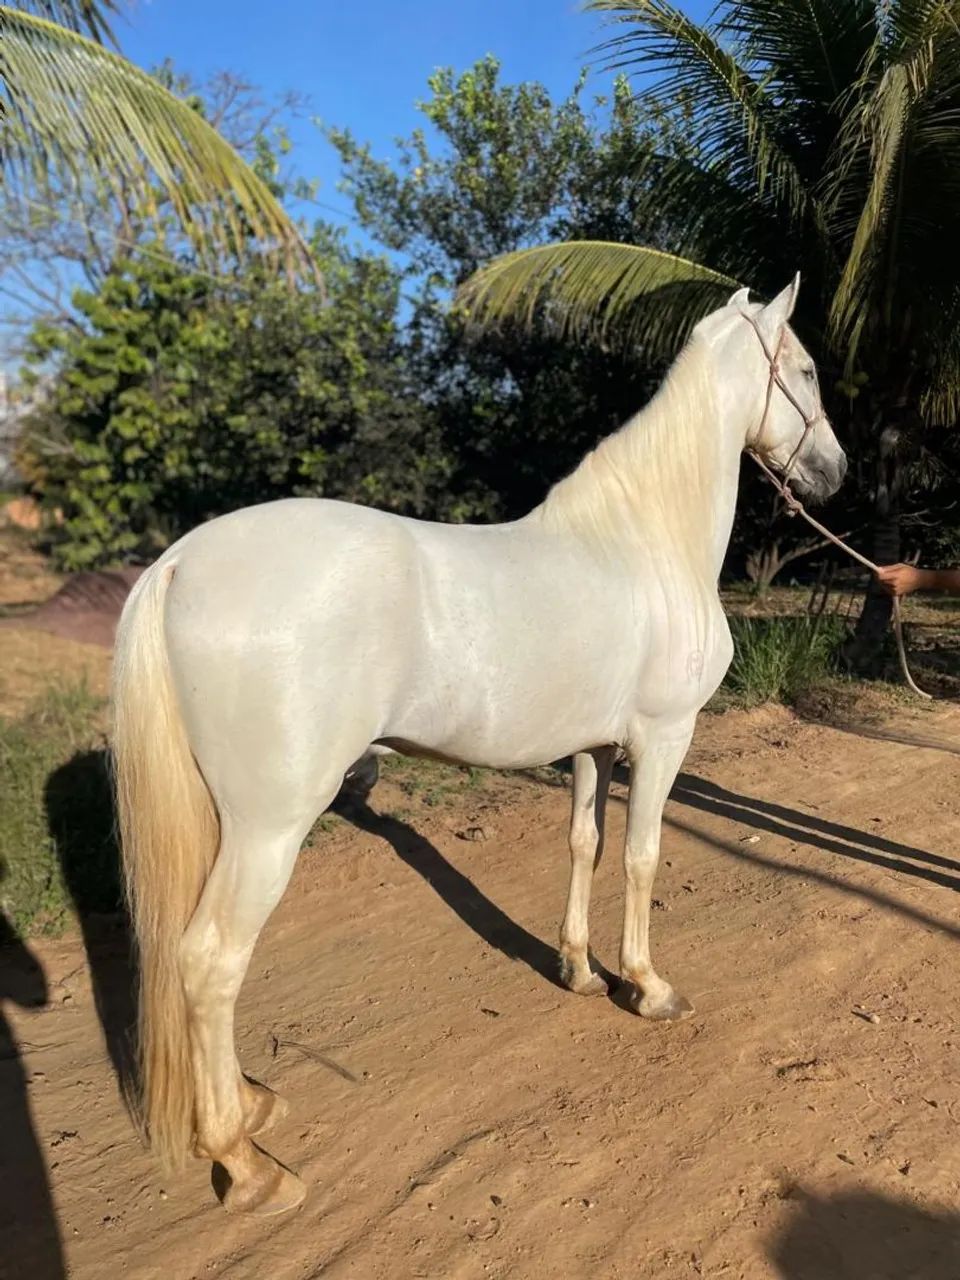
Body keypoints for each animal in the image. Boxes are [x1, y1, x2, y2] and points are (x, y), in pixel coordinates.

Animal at [112, 274, 846, 1215]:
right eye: (806, 368)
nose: (834, 474)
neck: (644, 544)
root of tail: (181, 564)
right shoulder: (662, 738)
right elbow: (643, 855)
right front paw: (648, 988)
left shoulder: (592, 749)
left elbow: (585, 844)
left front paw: (579, 970)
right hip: (270, 827)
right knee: (210, 960)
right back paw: (245, 1165)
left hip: (224, 822)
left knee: (191, 959)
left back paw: (251, 1104)